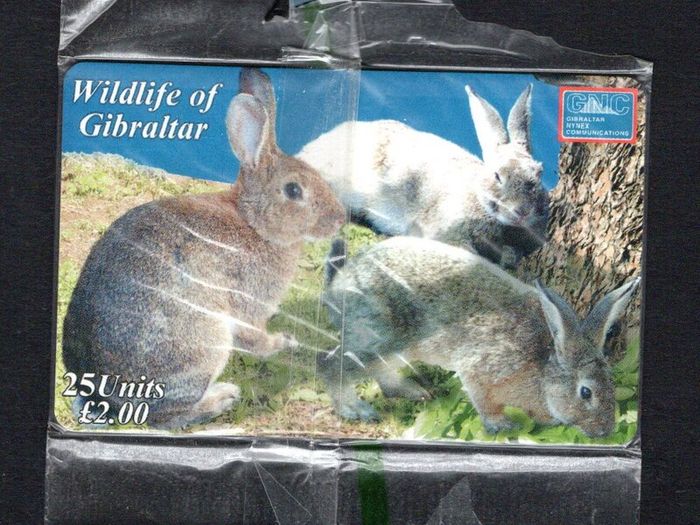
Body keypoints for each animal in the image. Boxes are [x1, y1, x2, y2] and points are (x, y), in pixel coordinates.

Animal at [62, 68, 345, 429]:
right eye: (293, 190)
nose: (340, 219)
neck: (253, 222)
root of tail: (104, 395)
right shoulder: (248, 303)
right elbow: (256, 339)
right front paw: (284, 342)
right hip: (205, 341)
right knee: (166, 416)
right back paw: (222, 398)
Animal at [321, 237, 639, 437]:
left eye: (612, 384)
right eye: (586, 392)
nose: (604, 432)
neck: (545, 370)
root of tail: (337, 287)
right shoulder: (481, 367)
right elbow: (482, 399)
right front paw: (501, 426)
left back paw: (414, 391)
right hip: (379, 337)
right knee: (329, 363)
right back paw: (355, 409)